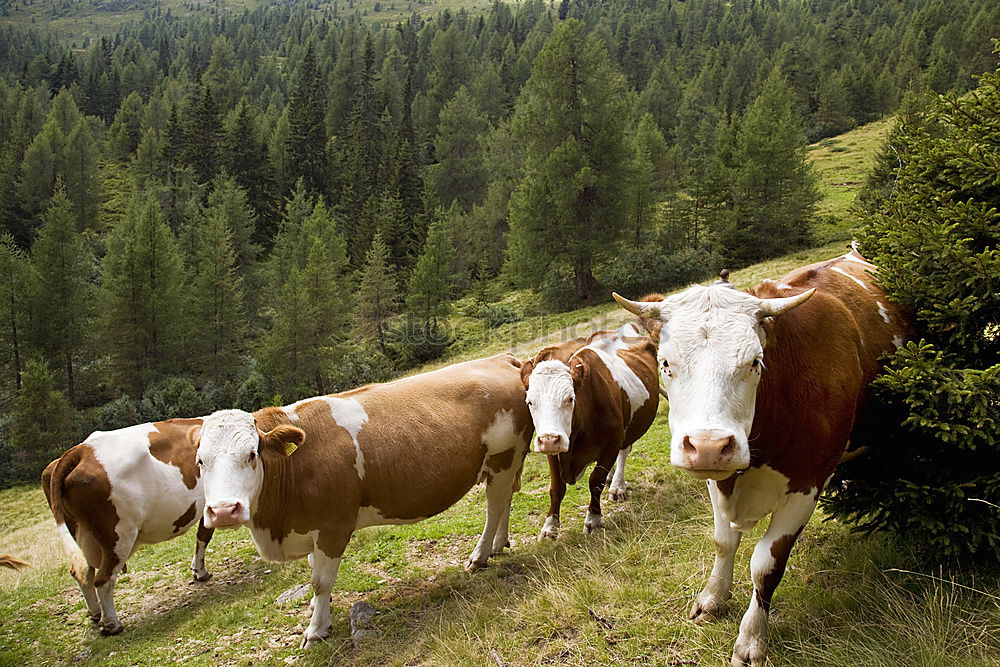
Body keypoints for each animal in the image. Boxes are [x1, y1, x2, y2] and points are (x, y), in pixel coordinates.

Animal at [44, 422, 216, 636]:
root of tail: (82, 450)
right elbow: (205, 535)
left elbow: (202, 536)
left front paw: (199, 571)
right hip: (118, 535)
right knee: (103, 579)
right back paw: (111, 624)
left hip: (81, 533)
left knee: (83, 573)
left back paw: (95, 613)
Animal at [188, 354, 532, 648]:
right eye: (201, 462)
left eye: (252, 454)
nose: (223, 511)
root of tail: (501, 358)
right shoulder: (312, 527)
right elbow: (314, 573)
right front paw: (316, 609)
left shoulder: (333, 527)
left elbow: (320, 580)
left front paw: (317, 629)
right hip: (504, 464)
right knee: (505, 501)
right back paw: (499, 544)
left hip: (504, 457)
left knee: (494, 506)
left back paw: (480, 555)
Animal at [520, 326, 660, 540]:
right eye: (529, 402)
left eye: (570, 399)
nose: (550, 440)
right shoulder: (554, 454)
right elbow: (556, 488)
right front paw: (550, 526)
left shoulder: (612, 443)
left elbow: (595, 481)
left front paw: (593, 519)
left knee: (624, 452)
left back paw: (617, 486)